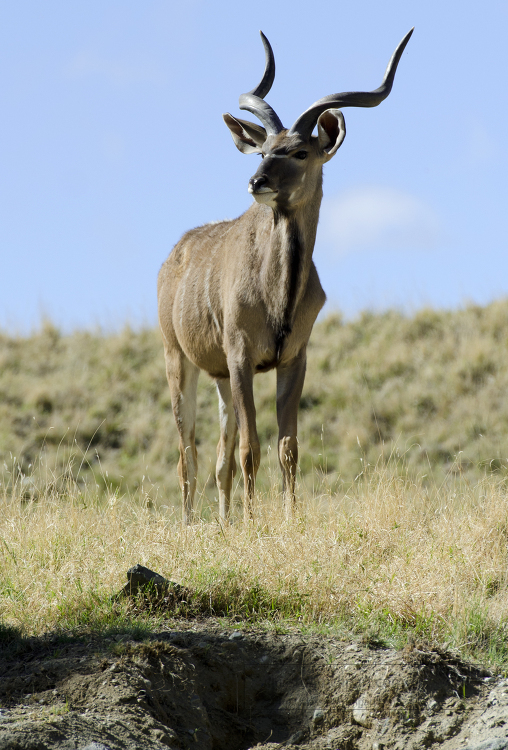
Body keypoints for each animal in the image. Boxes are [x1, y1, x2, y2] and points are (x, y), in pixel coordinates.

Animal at [159, 27, 412, 524]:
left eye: (299, 151)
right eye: (261, 150)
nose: (256, 182)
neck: (278, 296)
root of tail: (172, 257)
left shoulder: (293, 358)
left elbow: (287, 448)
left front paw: (289, 518)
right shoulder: (241, 358)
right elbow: (251, 448)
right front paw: (253, 521)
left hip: (218, 377)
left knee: (217, 457)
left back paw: (222, 522)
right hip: (179, 361)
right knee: (188, 454)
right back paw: (190, 524)